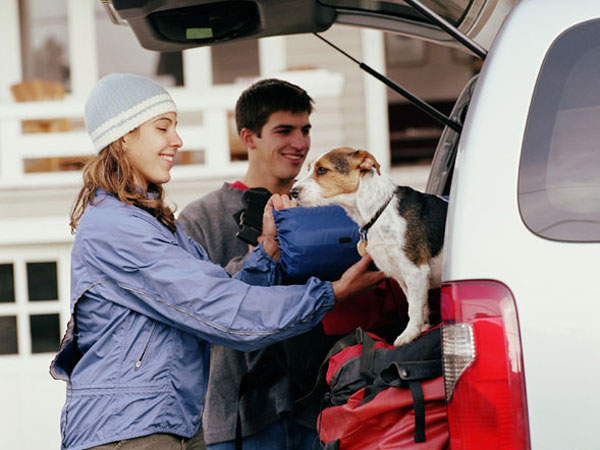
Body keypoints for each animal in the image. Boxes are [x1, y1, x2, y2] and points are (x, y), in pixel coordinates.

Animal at [288, 148, 448, 344]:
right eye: (309, 168)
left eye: (322, 170)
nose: (292, 192)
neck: (380, 210)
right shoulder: (403, 276)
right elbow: (416, 304)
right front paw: (422, 328)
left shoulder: (415, 270)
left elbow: (414, 308)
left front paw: (409, 334)